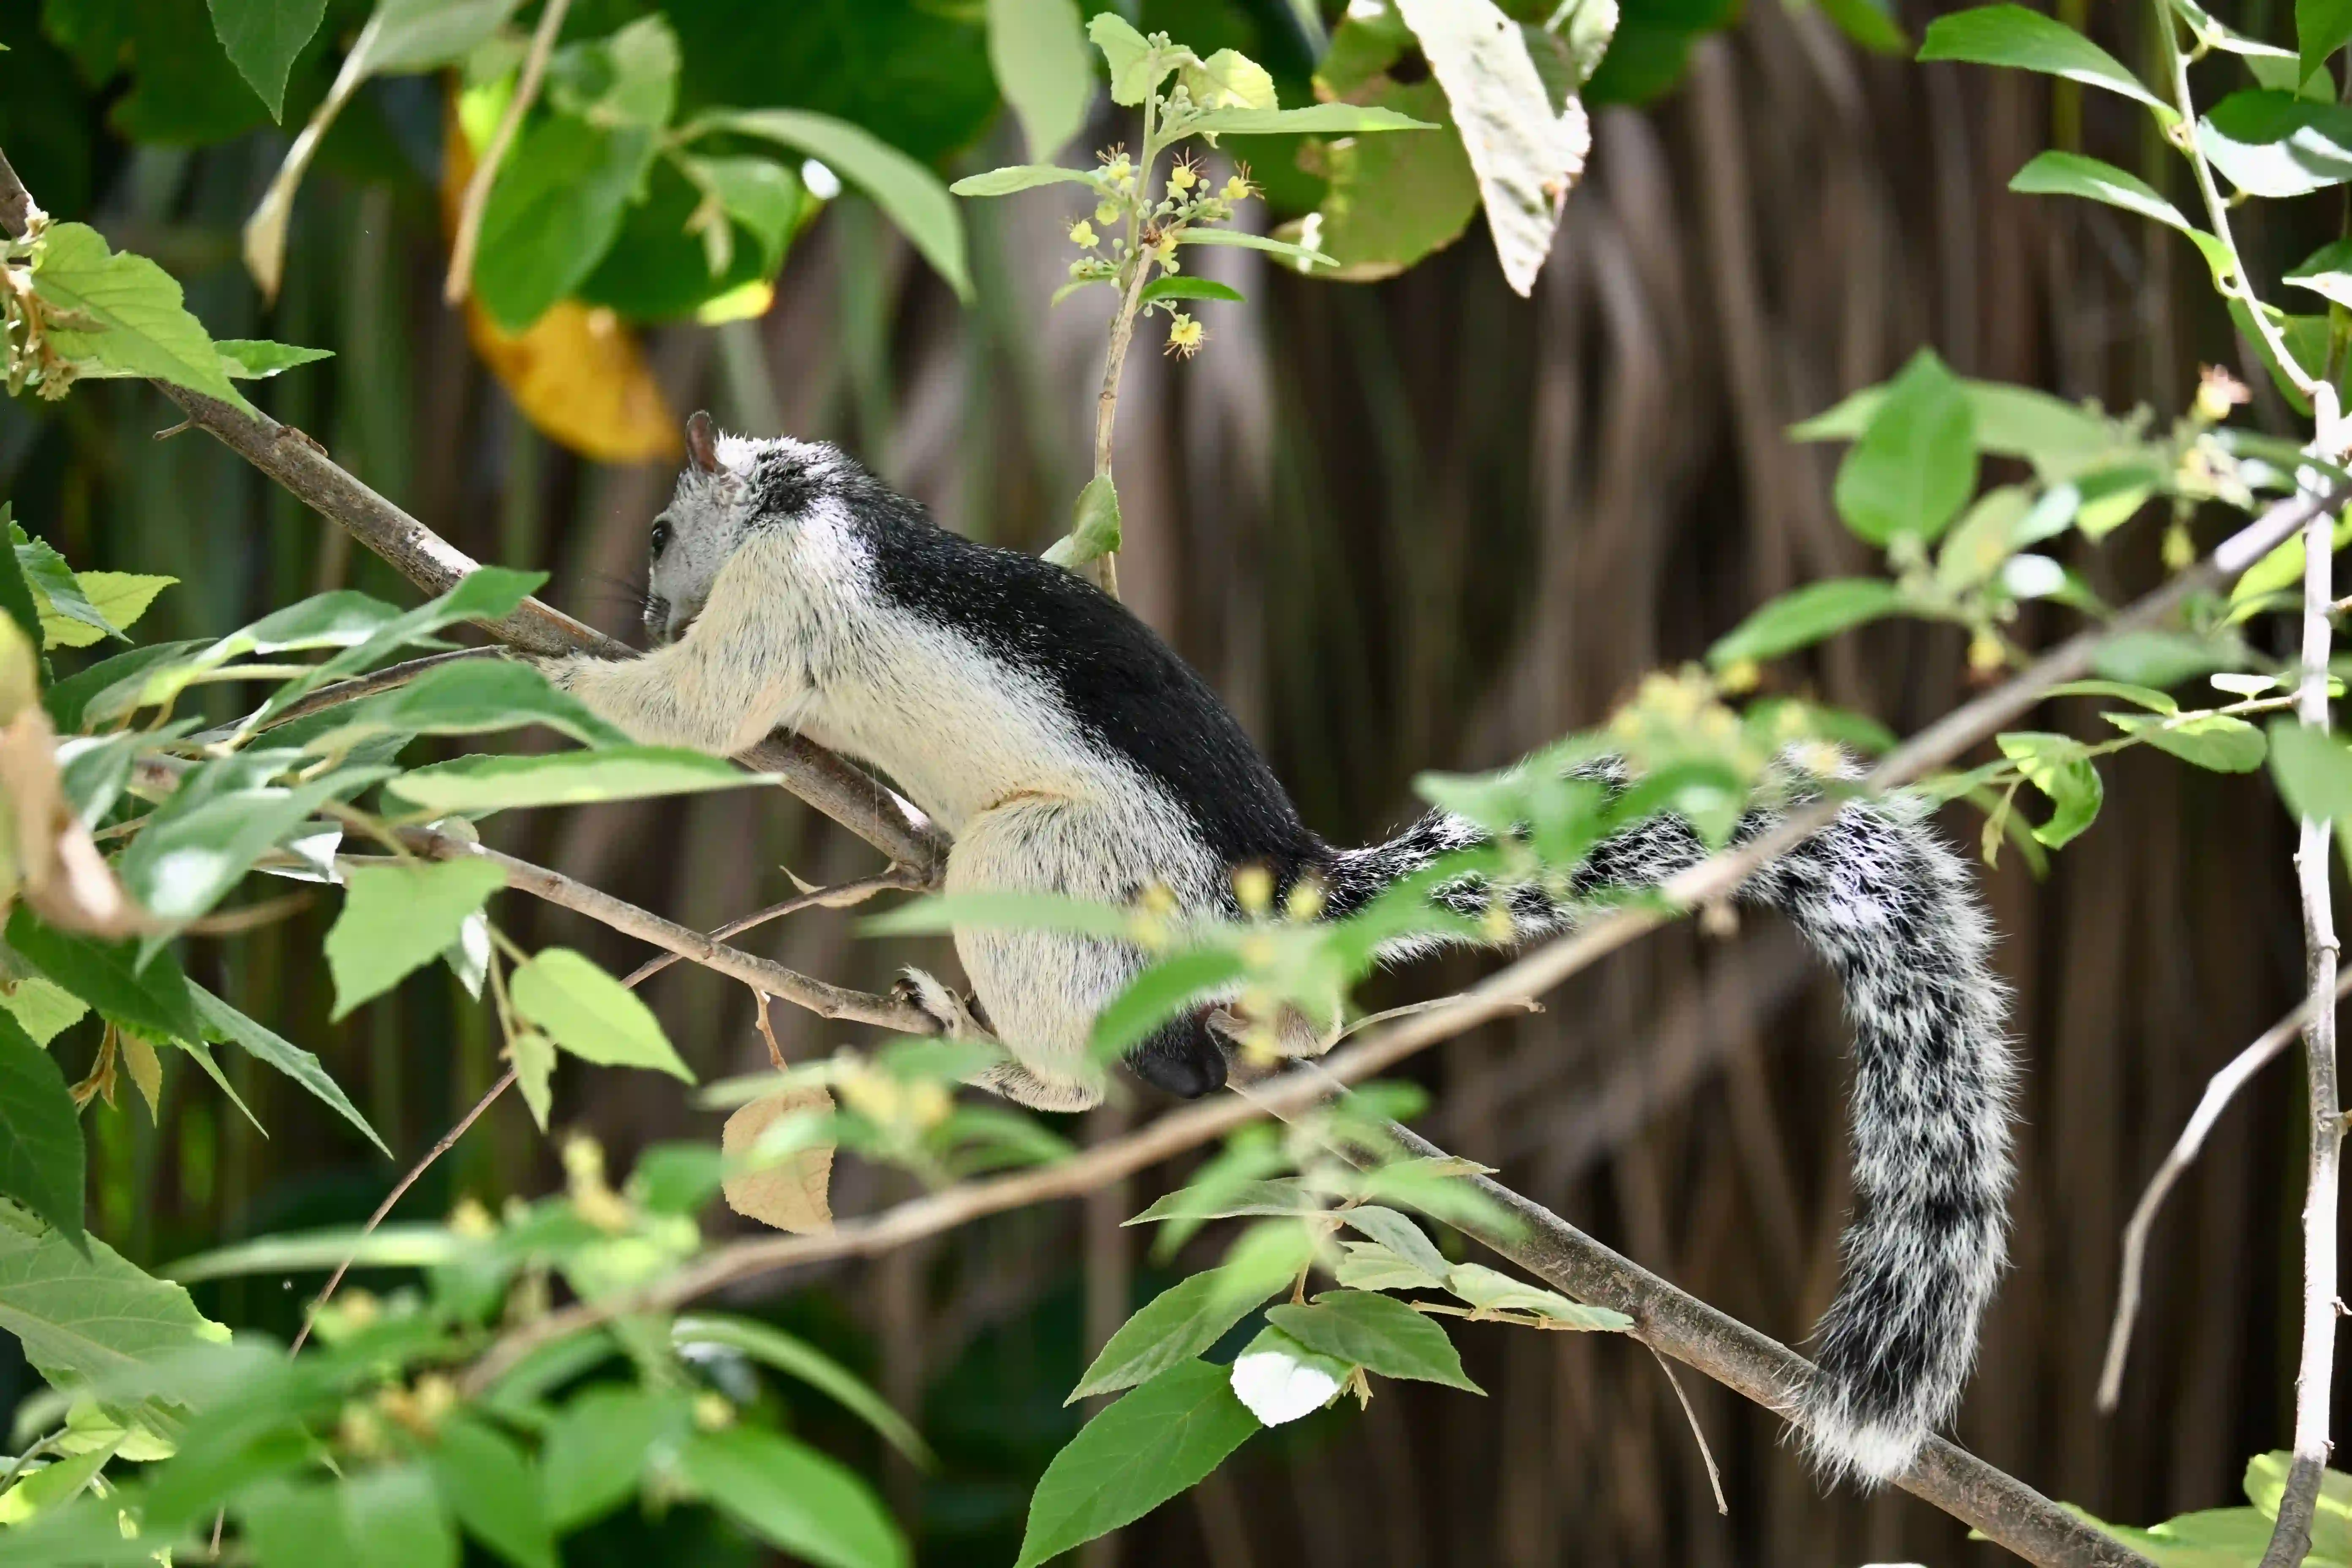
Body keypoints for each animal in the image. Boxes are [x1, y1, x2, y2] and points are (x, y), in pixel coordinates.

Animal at [540, 411, 2013, 1484]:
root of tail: (1291, 894)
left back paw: (1005, 1049)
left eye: (661, 527)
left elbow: (706, 708)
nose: (638, 609)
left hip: (1047, 869)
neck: (810, 495)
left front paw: (566, 678)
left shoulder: (782, 596)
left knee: (1098, 1059)